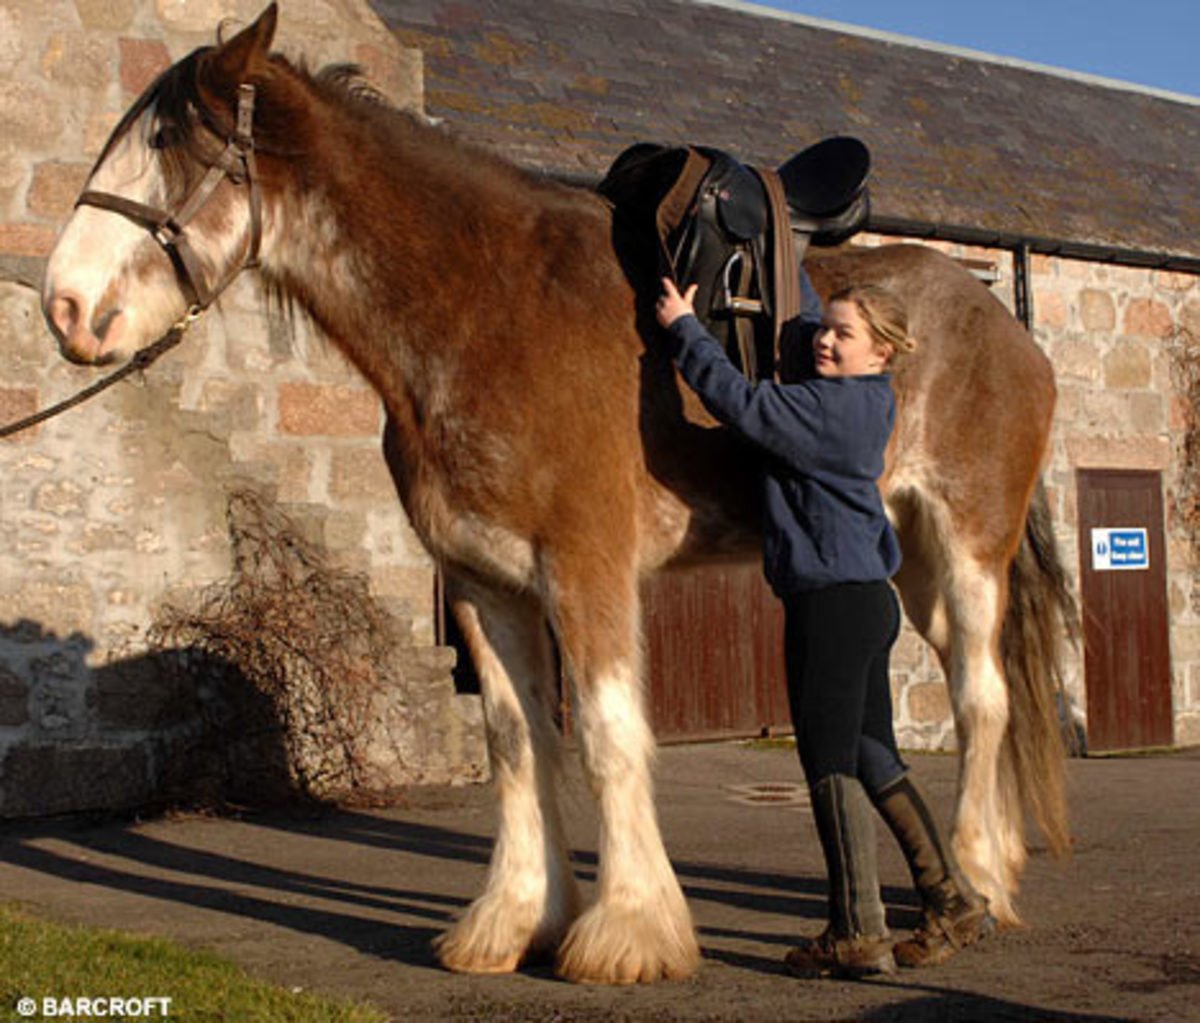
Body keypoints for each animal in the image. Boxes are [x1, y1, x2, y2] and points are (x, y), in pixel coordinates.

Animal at [37, 6, 1075, 984]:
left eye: (169, 142)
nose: (63, 307)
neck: (485, 310)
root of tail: (1003, 324)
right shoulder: (484, 583)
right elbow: (517, 741)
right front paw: (515, 919)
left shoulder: (587, 568)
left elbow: (610, 737)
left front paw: (629, 933)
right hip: (912, 571)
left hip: (968, 548)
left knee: (981, 698)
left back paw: (979, 879)